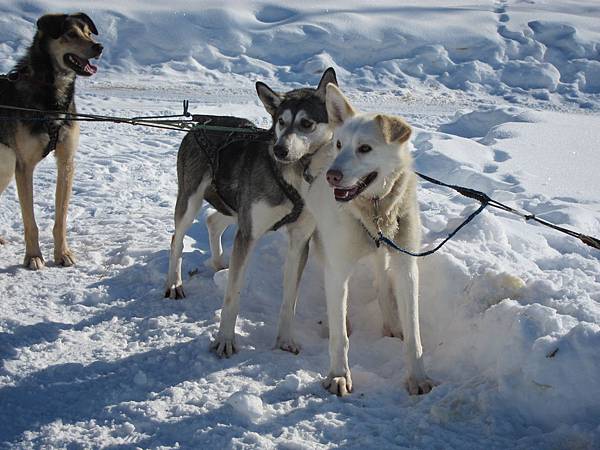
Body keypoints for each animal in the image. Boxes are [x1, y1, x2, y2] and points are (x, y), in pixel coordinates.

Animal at [0, 13, 102, 268]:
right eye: (70, 34)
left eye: (88, 33)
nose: (99, 47)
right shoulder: (23, 167)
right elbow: (30, 222)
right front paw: (34, 256)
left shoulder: (66, 162)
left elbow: (61, 218)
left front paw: (63, 253)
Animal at [302, 83, 434, 394]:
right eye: (340, 145)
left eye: (365, 148)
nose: (331, 176)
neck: (374, 210)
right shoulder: (338, 268)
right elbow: (339, 337)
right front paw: (339, 375)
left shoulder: (406, 266)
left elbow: (414, 334)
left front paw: (417, 377)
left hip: (383, 252)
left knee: (381, 279)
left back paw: (391, 322)